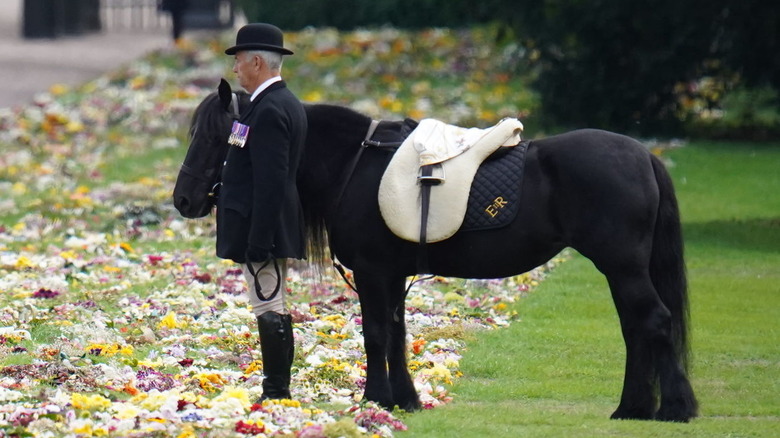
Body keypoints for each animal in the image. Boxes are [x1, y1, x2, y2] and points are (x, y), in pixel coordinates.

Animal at [174, 81, 696, 420]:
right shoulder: (392, 275)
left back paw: (674, 408)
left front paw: (375, 399)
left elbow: (376, 335)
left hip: (622, 265)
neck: (354, 164)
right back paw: (633, 408)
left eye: (216, 136)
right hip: (620, 269)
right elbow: (398, 335)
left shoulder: (373, 272)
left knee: (654, 322)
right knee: (636, 328)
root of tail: (644, 155)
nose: (183, 199)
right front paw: (405, 400)